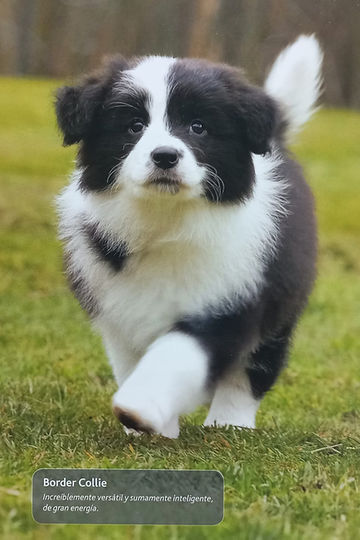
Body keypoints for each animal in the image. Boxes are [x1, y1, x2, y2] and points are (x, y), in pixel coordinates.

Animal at [57, 34, 324, 438]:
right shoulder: (119, 307)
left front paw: (139, 408)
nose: (165, 155)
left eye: (198, 127)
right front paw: (154, 429)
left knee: (253, 368)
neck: (167, 219)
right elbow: (132, 361)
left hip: (280, 297)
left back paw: (230, 423)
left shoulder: (233, 296)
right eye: (134, 126)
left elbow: (178, 353)